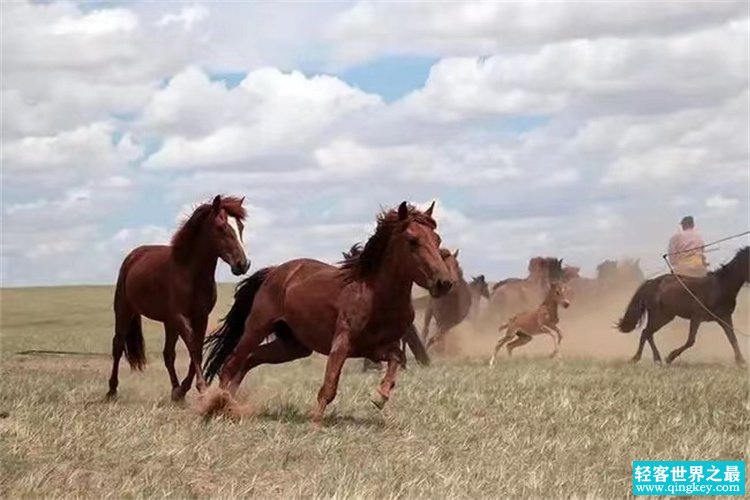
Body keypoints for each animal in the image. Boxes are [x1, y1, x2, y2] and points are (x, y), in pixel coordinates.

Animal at [107, 193, 251, 400]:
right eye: (221, 227)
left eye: (241, 227)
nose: (243, 264)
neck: (190, 273)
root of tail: (133, 256)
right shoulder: (180, 317)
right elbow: (193, 348)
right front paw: (201, 388)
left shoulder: (200, 317)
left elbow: (196, 348)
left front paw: (184, 389)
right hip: (124, 310)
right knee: (118, 346)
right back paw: (111, 390)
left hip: (168, 323)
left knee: (168, 354)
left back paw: (175, 391)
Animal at [200, 201, 456, 424]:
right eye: (413, 240)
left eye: (437, 239)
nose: (444, 282)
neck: (377, 296)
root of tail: (275, 271)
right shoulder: (342, 343)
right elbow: (329, 385)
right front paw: (315, 423)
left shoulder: (374, 348)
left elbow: (397, 359)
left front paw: (379, 397)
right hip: (257, 328)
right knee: (231, 364)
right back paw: (216, 406)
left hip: (293, 346)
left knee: (250, 360)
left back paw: (230, 405)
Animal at [620, 247, 748, 368]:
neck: (719, 287)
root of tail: (651, 282)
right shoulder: (696, 317)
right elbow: (691, 341)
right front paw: (670, 357)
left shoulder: (724, 317)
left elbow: (732, 338)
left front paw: (741, 361)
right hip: (658, 316)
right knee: (646, 333)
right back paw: (638, 358)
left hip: (666, 317)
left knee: (648, 333)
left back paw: (656, 359)